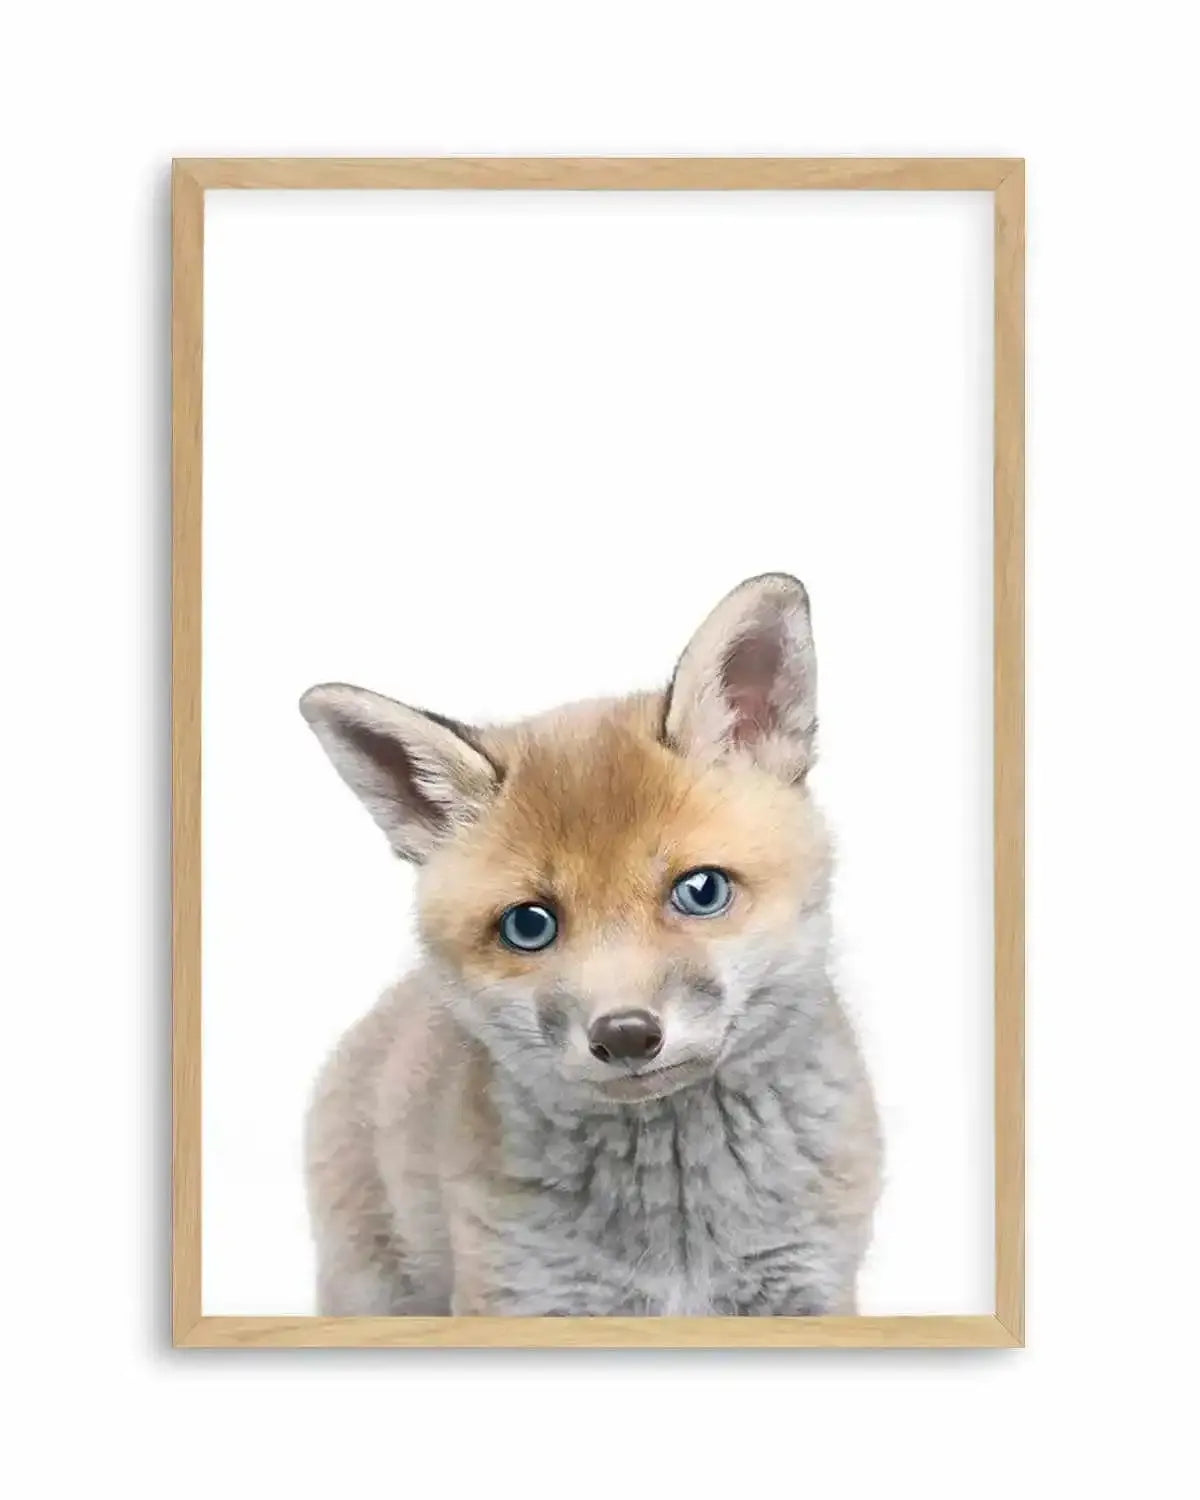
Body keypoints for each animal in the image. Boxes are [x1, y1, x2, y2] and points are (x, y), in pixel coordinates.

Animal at [300, 573, 881, 1317]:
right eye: (529, 925)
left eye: (701, 891)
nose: (626, 1034)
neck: (679, 1232)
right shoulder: (524, 1294)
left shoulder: (807, 1285)